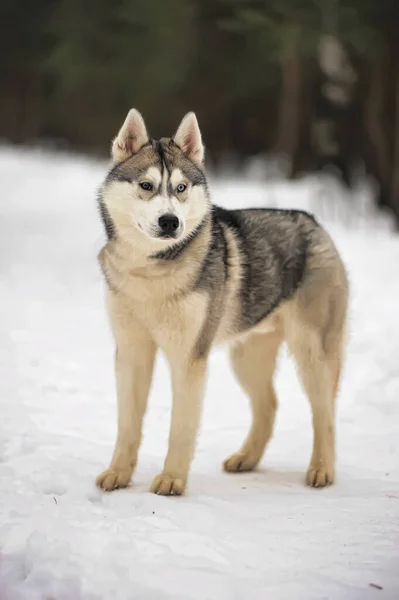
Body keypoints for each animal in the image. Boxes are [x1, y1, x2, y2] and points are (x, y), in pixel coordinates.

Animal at [95, 109, 348, 496]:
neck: (152, 270)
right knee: (269, 404)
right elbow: (127, 424)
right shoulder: (131, 352)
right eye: (147, 186)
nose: (170, 221)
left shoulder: (189, 358)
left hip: (312, 353)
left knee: (325, 414)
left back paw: (322, 470)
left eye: (181, 188)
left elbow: (180, 428)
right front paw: (118, 473)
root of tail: (313, 221)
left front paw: (172, 479)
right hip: (246, 356)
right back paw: (247, 459)